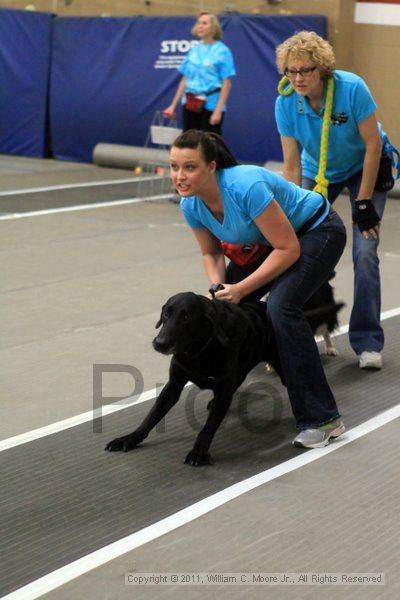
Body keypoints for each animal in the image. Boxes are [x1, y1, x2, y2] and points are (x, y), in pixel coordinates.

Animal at [106, 284, 344, 464]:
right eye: (166, 313)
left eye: (186, 317)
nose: (160, 342)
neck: (199, 350)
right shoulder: (174, 385)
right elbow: (152, 416)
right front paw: (129, 439)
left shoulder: (222, 390)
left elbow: (209, 426)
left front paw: (199, 452)